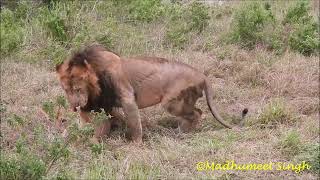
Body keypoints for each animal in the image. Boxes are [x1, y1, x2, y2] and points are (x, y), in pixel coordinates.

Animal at [56, 44, 238, 143]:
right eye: (66, 90)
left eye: (78, 89)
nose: (75, 105)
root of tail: (202, 75)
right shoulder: (105, 106)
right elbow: (101, 125)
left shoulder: (127, 98)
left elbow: (134, 124)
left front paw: (135, 145)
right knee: (198, 111)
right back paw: (180, 131)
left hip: (171, 103)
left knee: (197, 113)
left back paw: (182, 133)